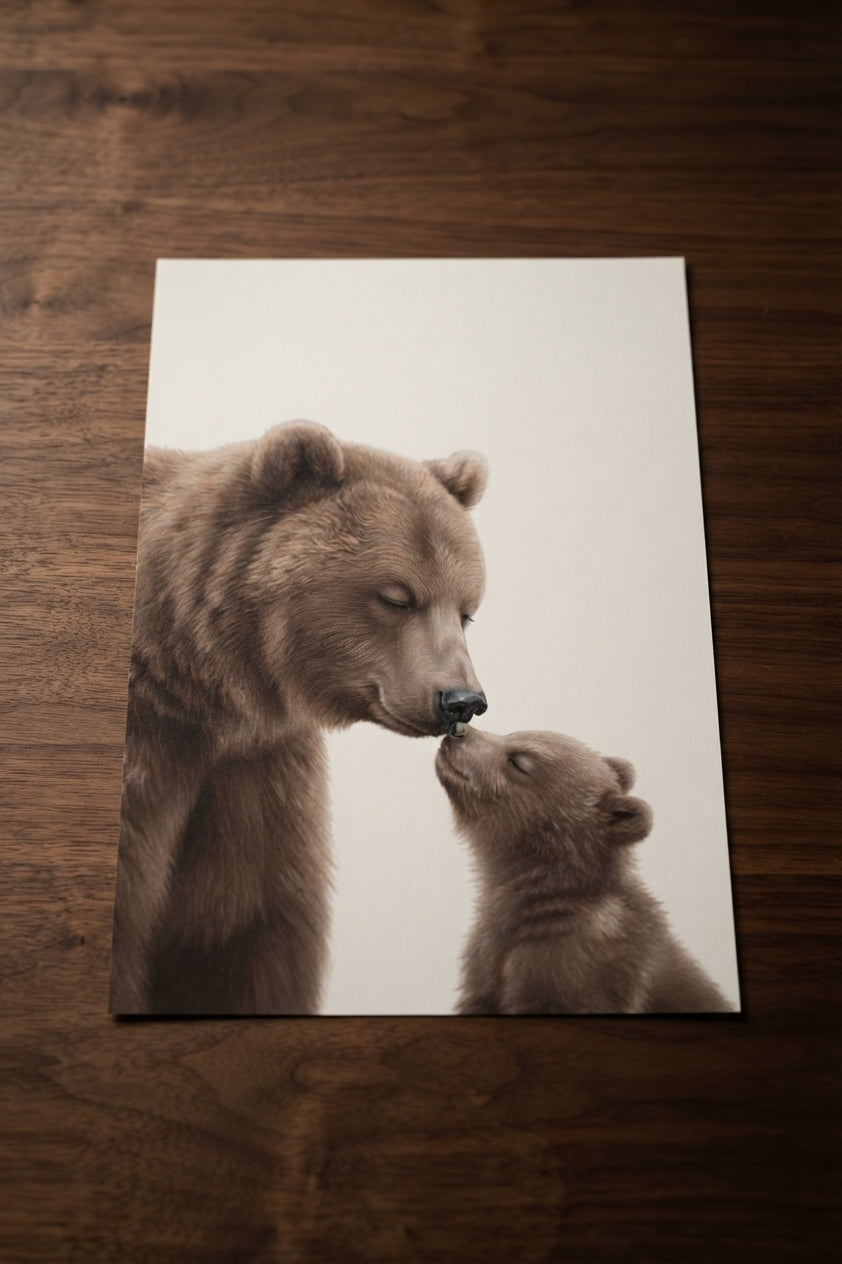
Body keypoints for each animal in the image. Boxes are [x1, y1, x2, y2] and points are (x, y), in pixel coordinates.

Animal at [109, 420, 489, 1015]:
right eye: (396, 597)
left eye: (467, 609)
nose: (461, 700)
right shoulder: (154, 751)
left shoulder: (254, 772)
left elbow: (247, 934)